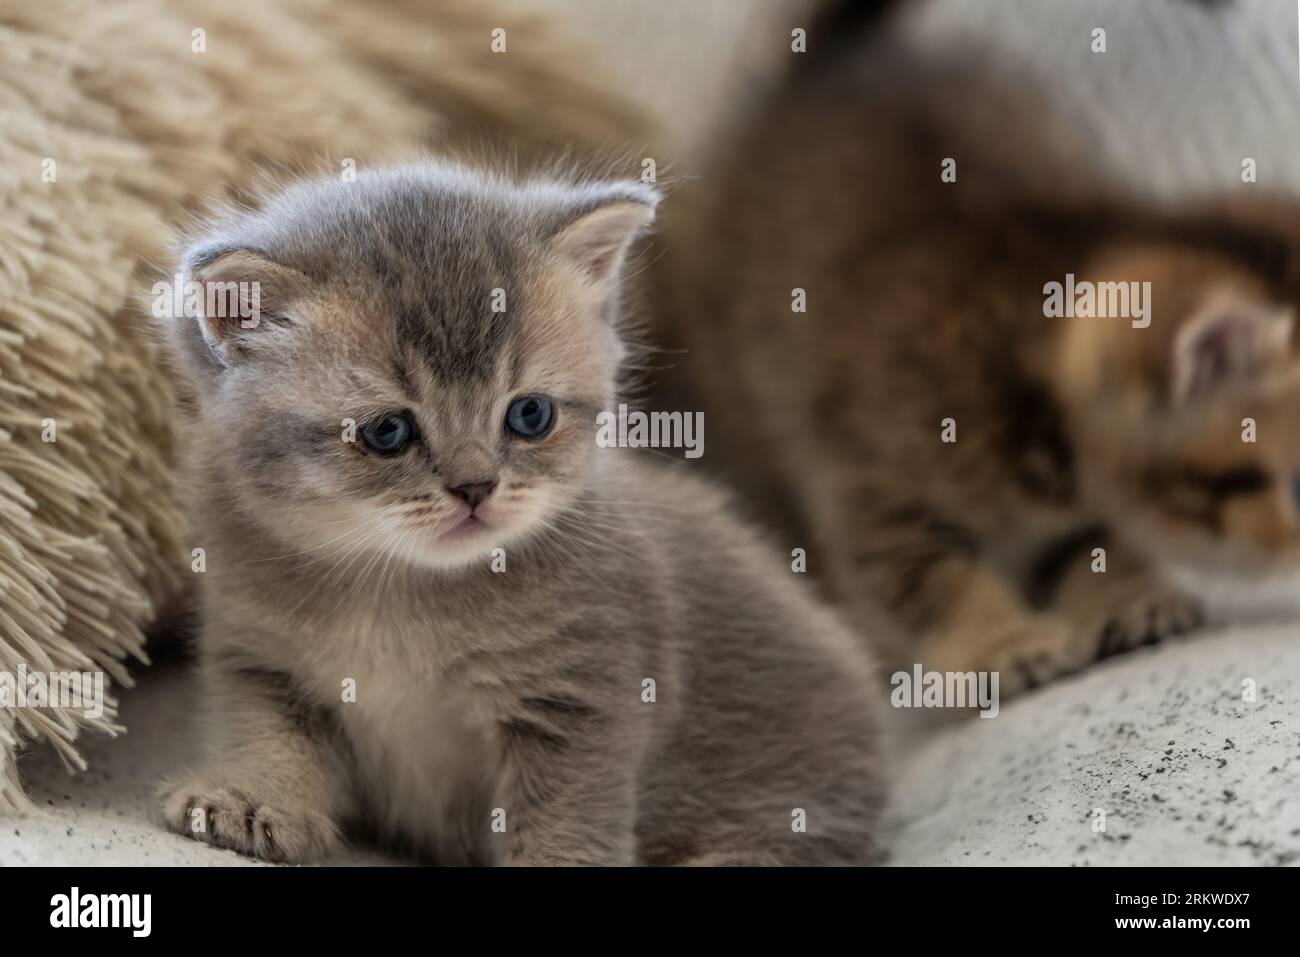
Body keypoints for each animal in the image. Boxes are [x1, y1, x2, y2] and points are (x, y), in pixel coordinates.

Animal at [154, 162, 883, 868]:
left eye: (530, 415)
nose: (476, 486)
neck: (396, 592)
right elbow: (268, 735)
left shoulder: (581, 699)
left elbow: (565, 815)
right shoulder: (260, 660)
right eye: (387, 431)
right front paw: (252, 798)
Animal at [665, 9, 1300, 696]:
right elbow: (933, 576)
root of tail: (834, 60)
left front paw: (1125, 595)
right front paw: (1002, 643)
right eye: (1297, 484)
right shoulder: (866, 482)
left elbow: (1090, 541)